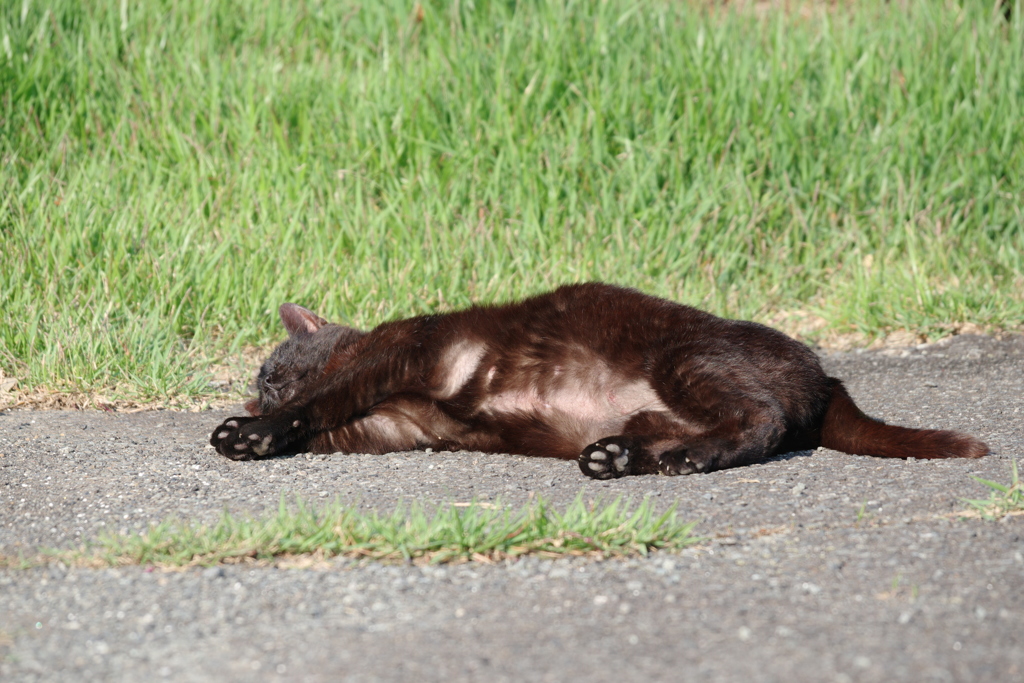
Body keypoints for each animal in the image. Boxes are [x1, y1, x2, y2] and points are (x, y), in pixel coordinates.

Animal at [207, 280, 983, 479]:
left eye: (270, 374)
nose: (255, 392)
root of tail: (824, 372)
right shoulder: (390, 424)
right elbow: (327, 422)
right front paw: (252, 432)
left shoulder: (396, 355)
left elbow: (320, 399)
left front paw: (246, 432)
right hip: (654, 406)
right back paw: (614, 457)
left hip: (687, 359)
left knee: (758, 421)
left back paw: (684, 460)